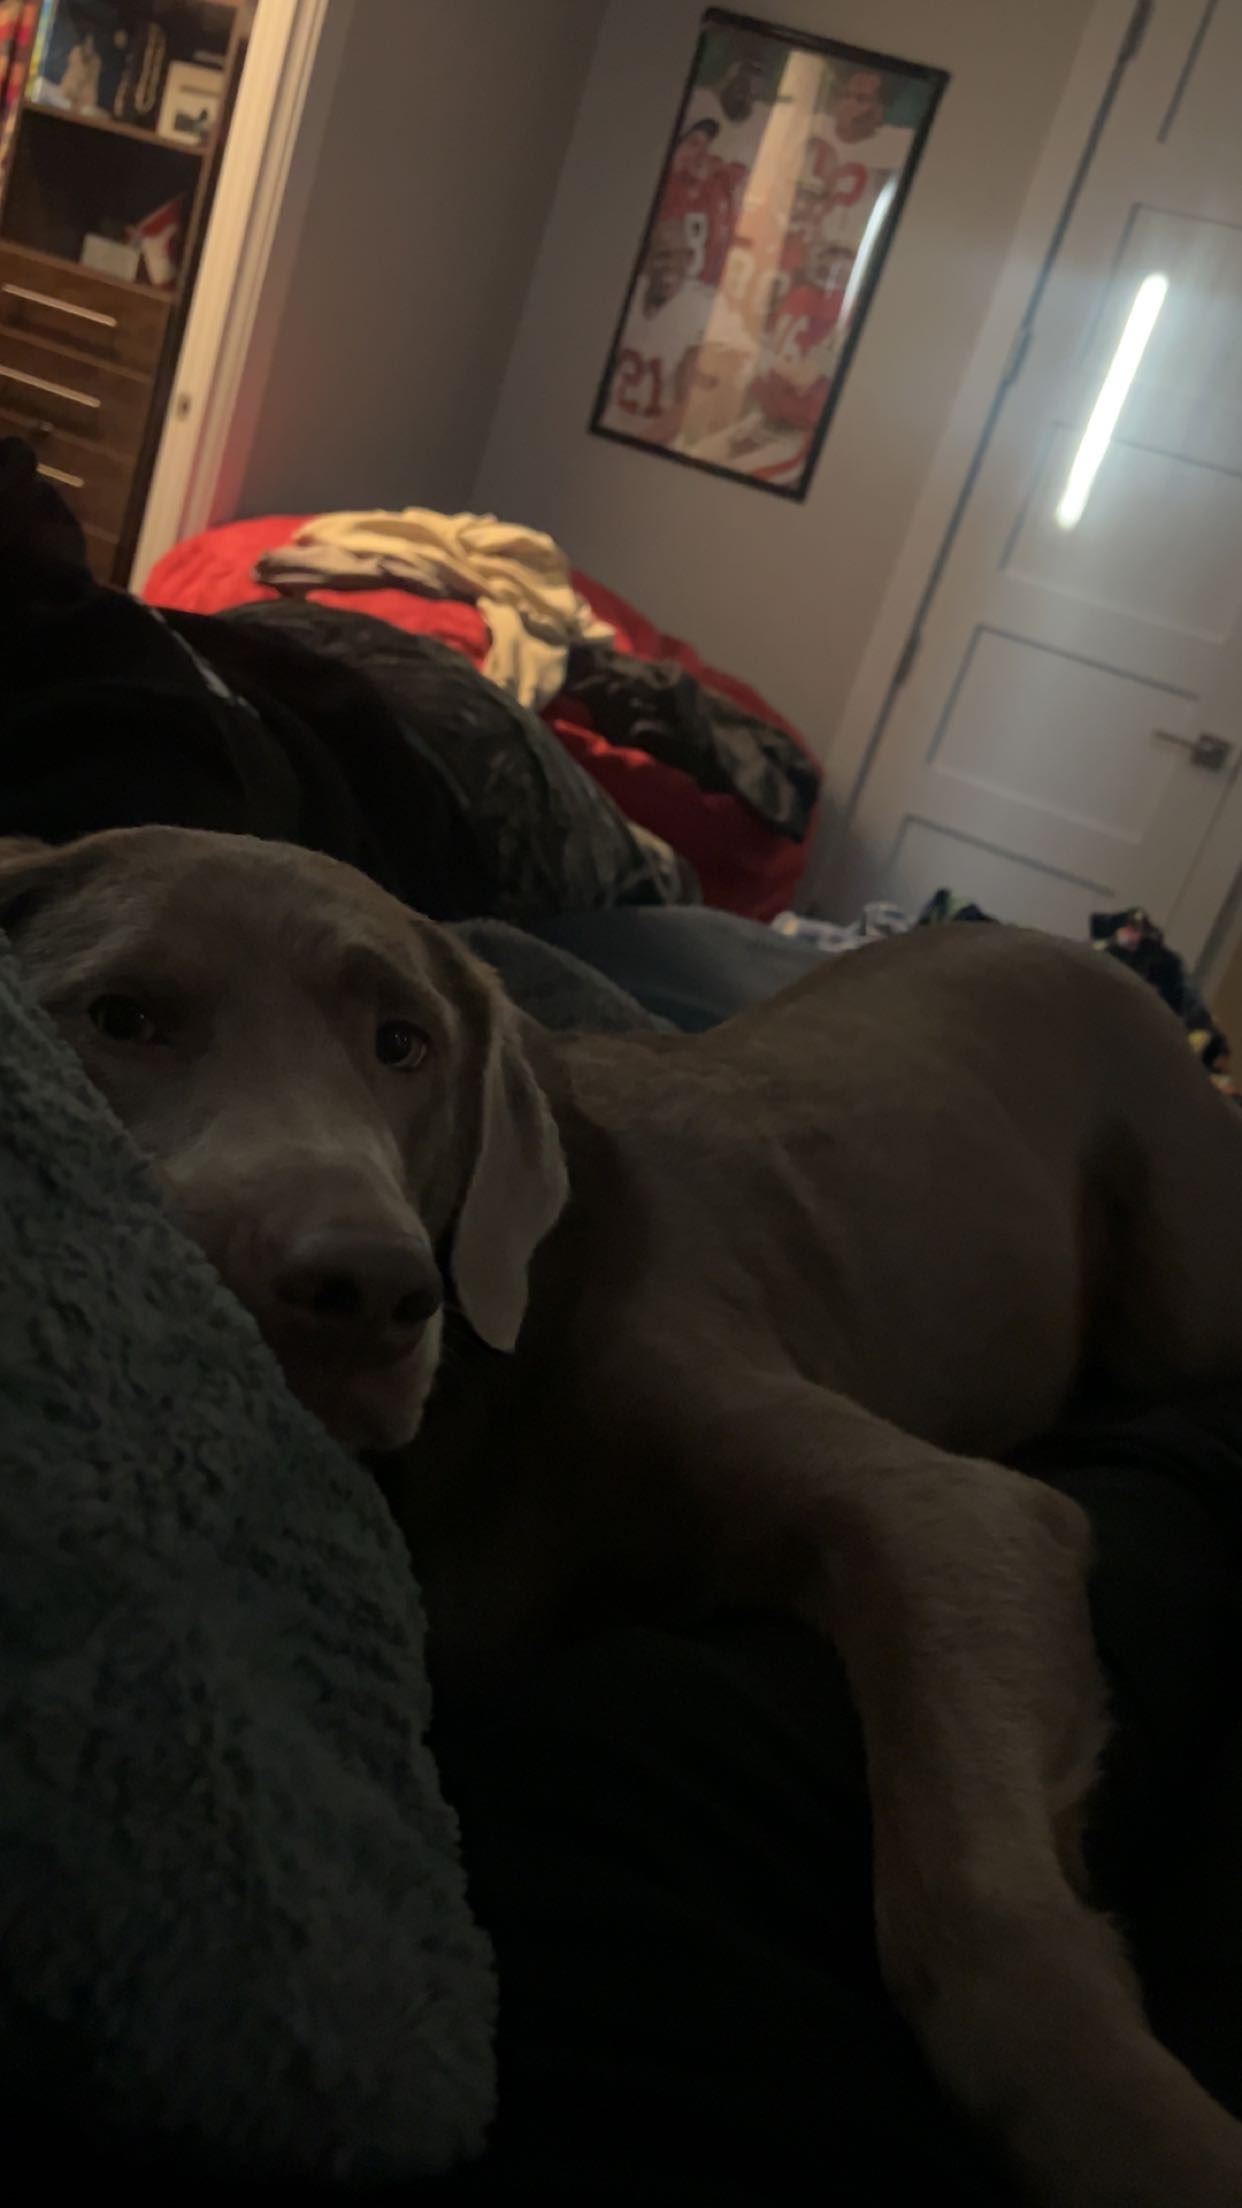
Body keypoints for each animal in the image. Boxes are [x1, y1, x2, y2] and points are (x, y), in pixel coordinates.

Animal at [4, 822, 1242, 2208]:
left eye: (403, 1044)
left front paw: (1154, 2137)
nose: (375, 1290)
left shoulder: (948, 1510)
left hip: (1185, 1295)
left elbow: (976, 1912)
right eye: (124, 1017)